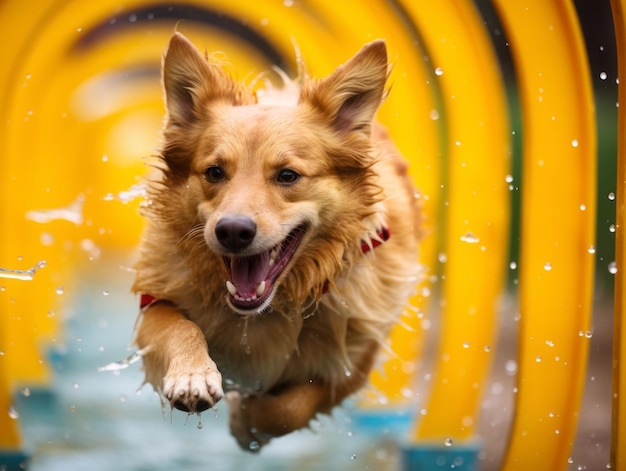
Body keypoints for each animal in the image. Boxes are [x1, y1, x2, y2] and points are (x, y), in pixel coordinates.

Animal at [132, 31, 420, 452]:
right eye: (214, 172)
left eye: (287, 175)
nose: (232, 230)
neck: (263, 311)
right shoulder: (155, 300)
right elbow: (177, 326)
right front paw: (192, 375)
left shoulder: (354, 361)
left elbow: (288, 408)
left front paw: (246, 419)